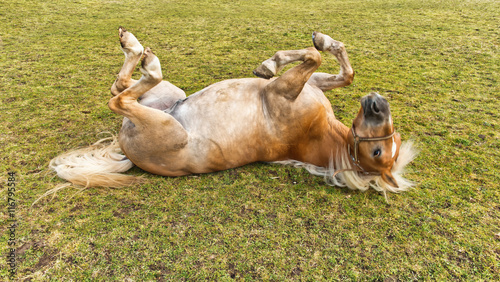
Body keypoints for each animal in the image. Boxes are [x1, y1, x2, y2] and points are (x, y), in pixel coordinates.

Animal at [50, 27, 418, 195]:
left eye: (378, 151)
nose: (377, 103)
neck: (315, 132)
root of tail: (126, 149)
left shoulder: (282, 91)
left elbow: (314, 60)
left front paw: (270, 63)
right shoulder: (307, 85)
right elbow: (340, 70)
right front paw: (314, 43)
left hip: (167, 126)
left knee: (120, 98)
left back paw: (143, 55)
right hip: (170, 97)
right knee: (120, 87)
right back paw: (134, 47)